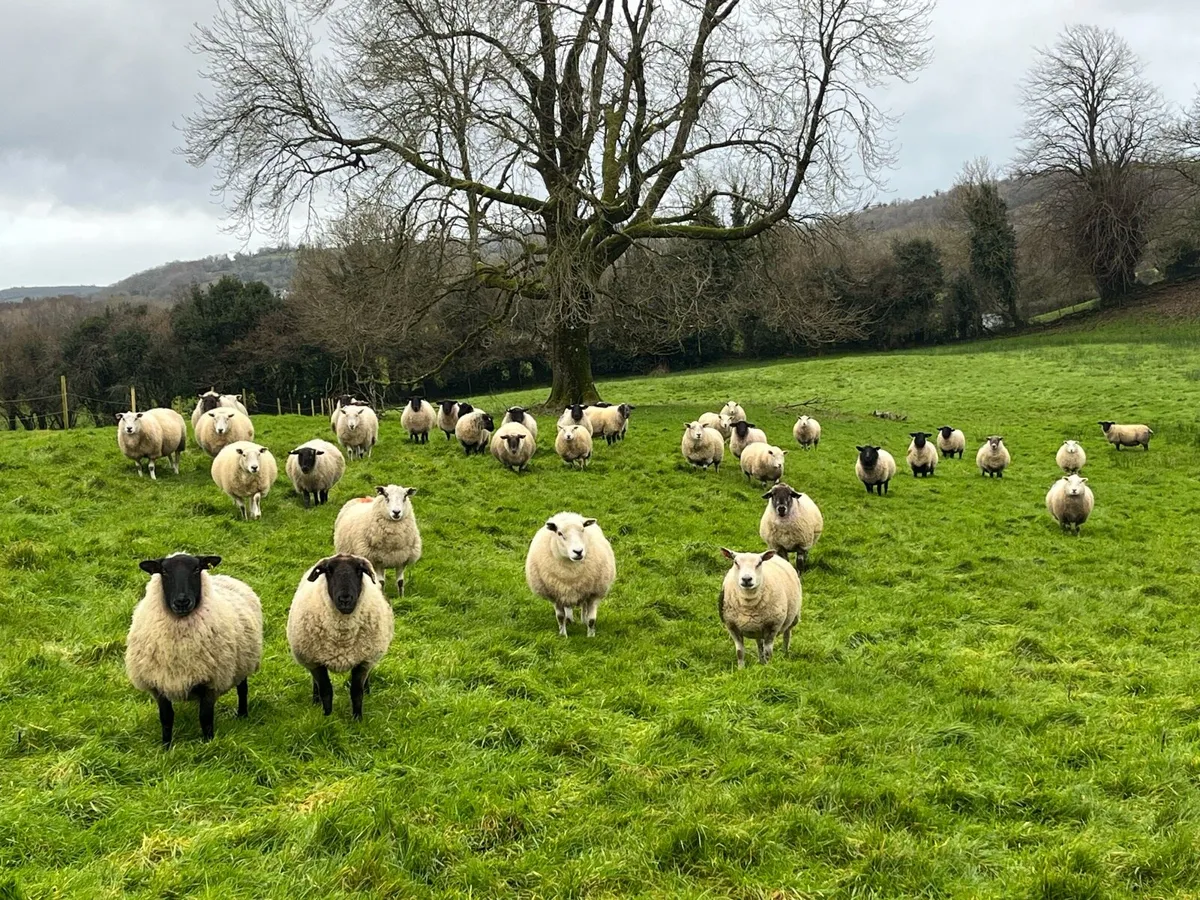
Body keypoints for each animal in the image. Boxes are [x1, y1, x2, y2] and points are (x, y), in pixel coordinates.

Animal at [126, 553, 262, 745]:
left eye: (197, 569)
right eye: (164, 571)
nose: (182, 601)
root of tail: (226, 577)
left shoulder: (210, 682)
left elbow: (205, 718)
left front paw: (208, 744)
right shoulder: (158, 683)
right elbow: (166, 718)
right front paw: (166, 746)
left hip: (244, 661)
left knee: (242, 689)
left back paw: (242, 715)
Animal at [286, 555, 394, 719]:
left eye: (359, 570)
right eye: (328, 570)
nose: (345, 599)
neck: (342, 636)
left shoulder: (363, 660)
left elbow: (357, 692)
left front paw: (357, 719)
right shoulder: (315, 661)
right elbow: (326, 691)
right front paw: (327, 717)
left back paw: (368, 690)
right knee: (315, 683)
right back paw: (315, 700)